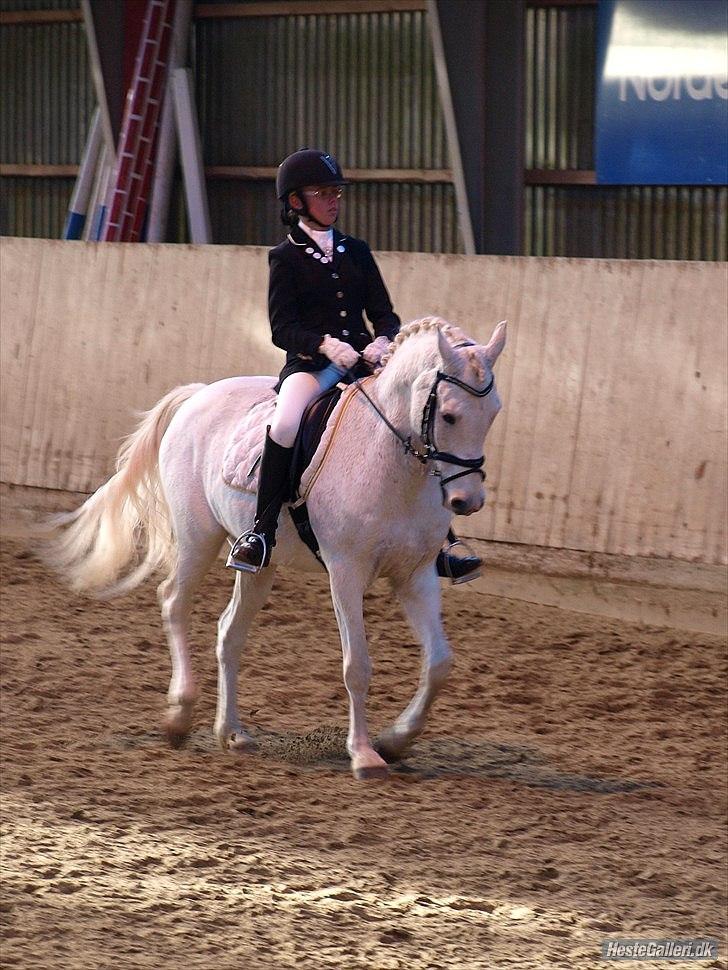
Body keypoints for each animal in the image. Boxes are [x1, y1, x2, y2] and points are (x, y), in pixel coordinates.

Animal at [49, 316, 506, 780]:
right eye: (448, 416)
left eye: (493, 414)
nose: (467, 501)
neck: (392, 462)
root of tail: (199, 393)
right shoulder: (346, 571)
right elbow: (356, 666)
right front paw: (364, 754)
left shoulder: (416, 575)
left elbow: (439, 663)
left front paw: (396, 741)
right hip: (197, 537)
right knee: (174, 601)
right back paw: (179, 716)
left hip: (258, 564)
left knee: (229, 631)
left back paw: (231, 732)